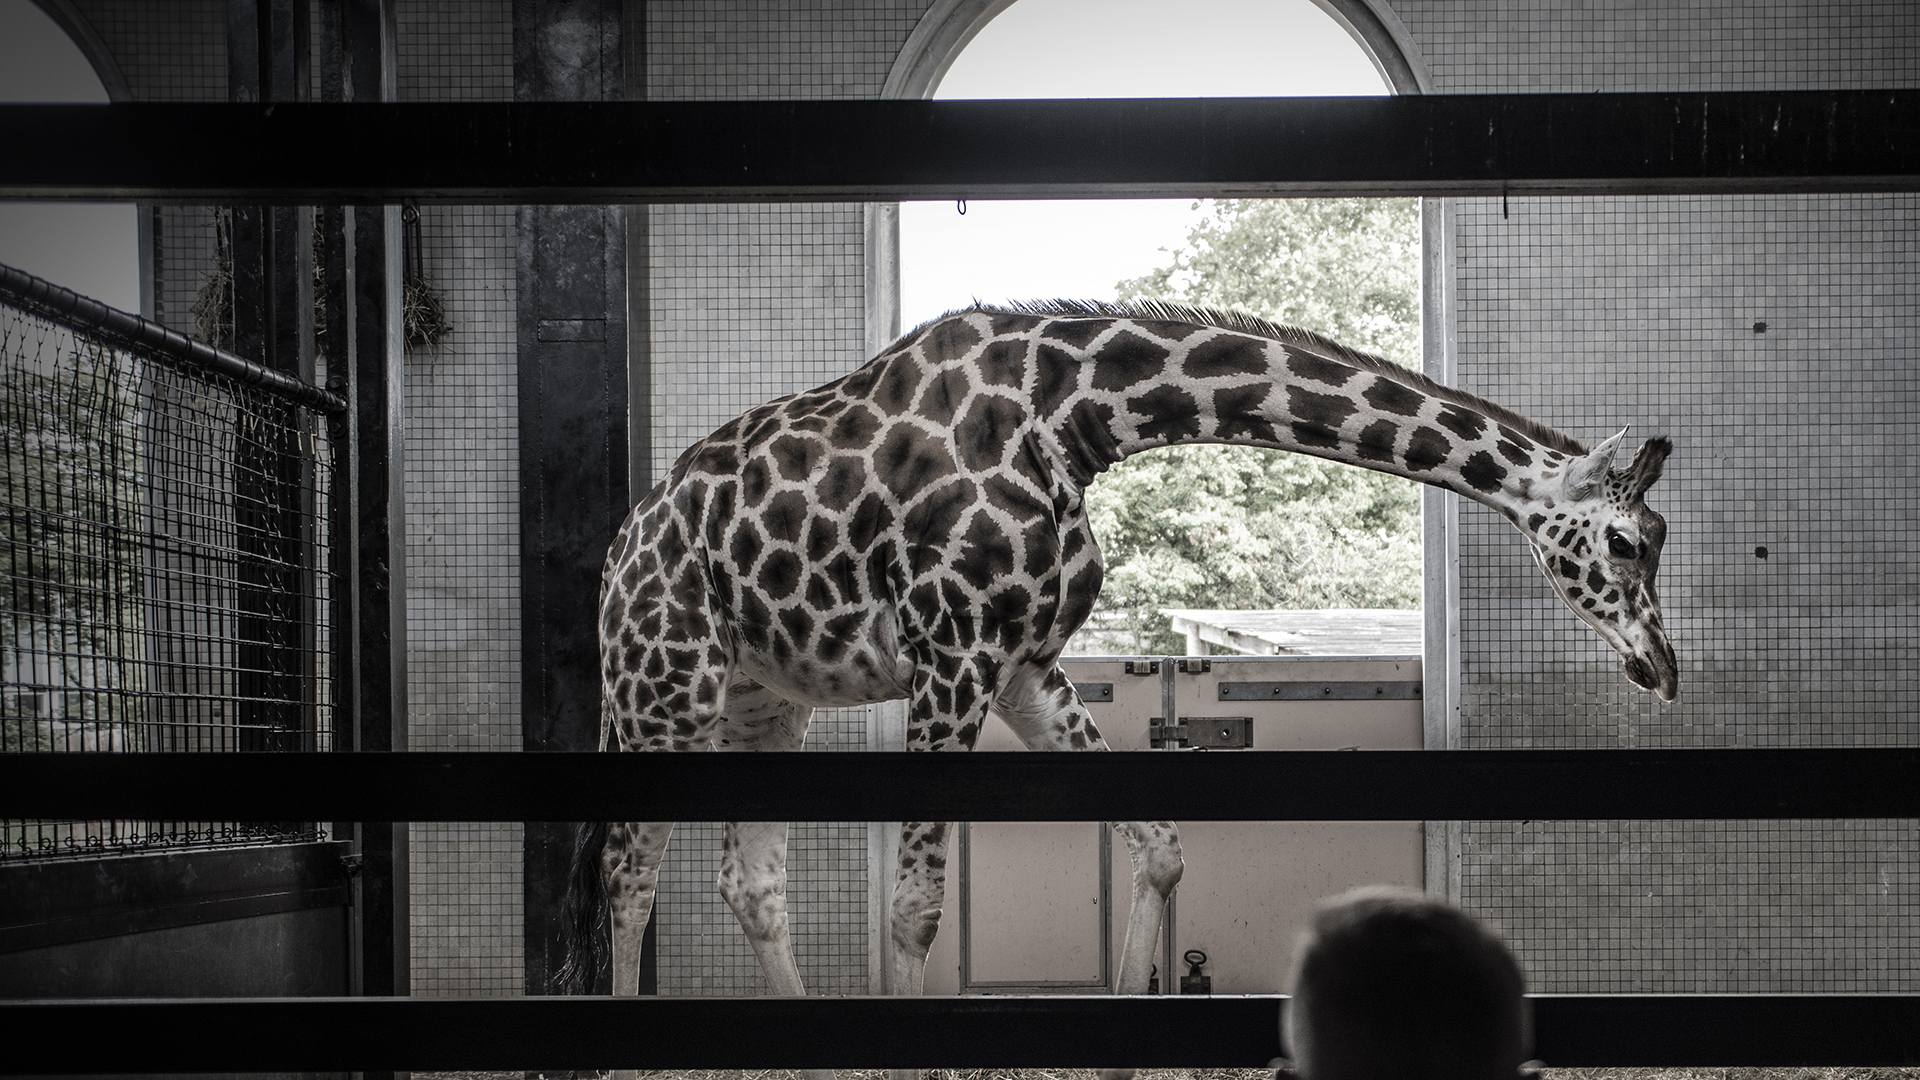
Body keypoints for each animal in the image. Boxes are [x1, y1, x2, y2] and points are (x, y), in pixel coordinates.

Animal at [560, 297, 1674, 1068]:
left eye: (1657, 536)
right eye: (1626, 541)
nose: (1660, 668)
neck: (1074, 418)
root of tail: (618, 553)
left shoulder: (1023, 665)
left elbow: (1162, 848)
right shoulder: (951, 653)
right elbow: (916, 907)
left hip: (765, 698)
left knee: (749, 885)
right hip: (665, 684)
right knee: (627, 869)